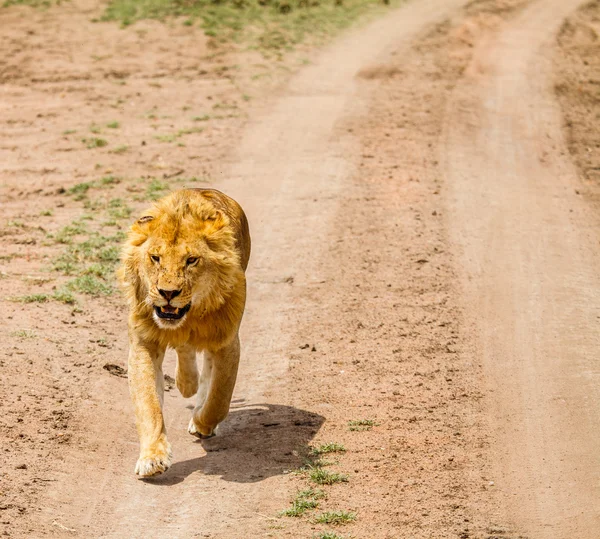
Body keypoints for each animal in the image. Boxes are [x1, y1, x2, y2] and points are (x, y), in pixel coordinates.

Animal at [118, 189, 250, 476]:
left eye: (191, 260)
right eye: (155, 258)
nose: (168, 293)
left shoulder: (227, 341)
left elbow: (219, 398)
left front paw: (202, 423)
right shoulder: (144, 344)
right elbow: (148, 405)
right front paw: (152, 457)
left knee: (206, 370)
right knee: (185, 349)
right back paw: (186, 383)